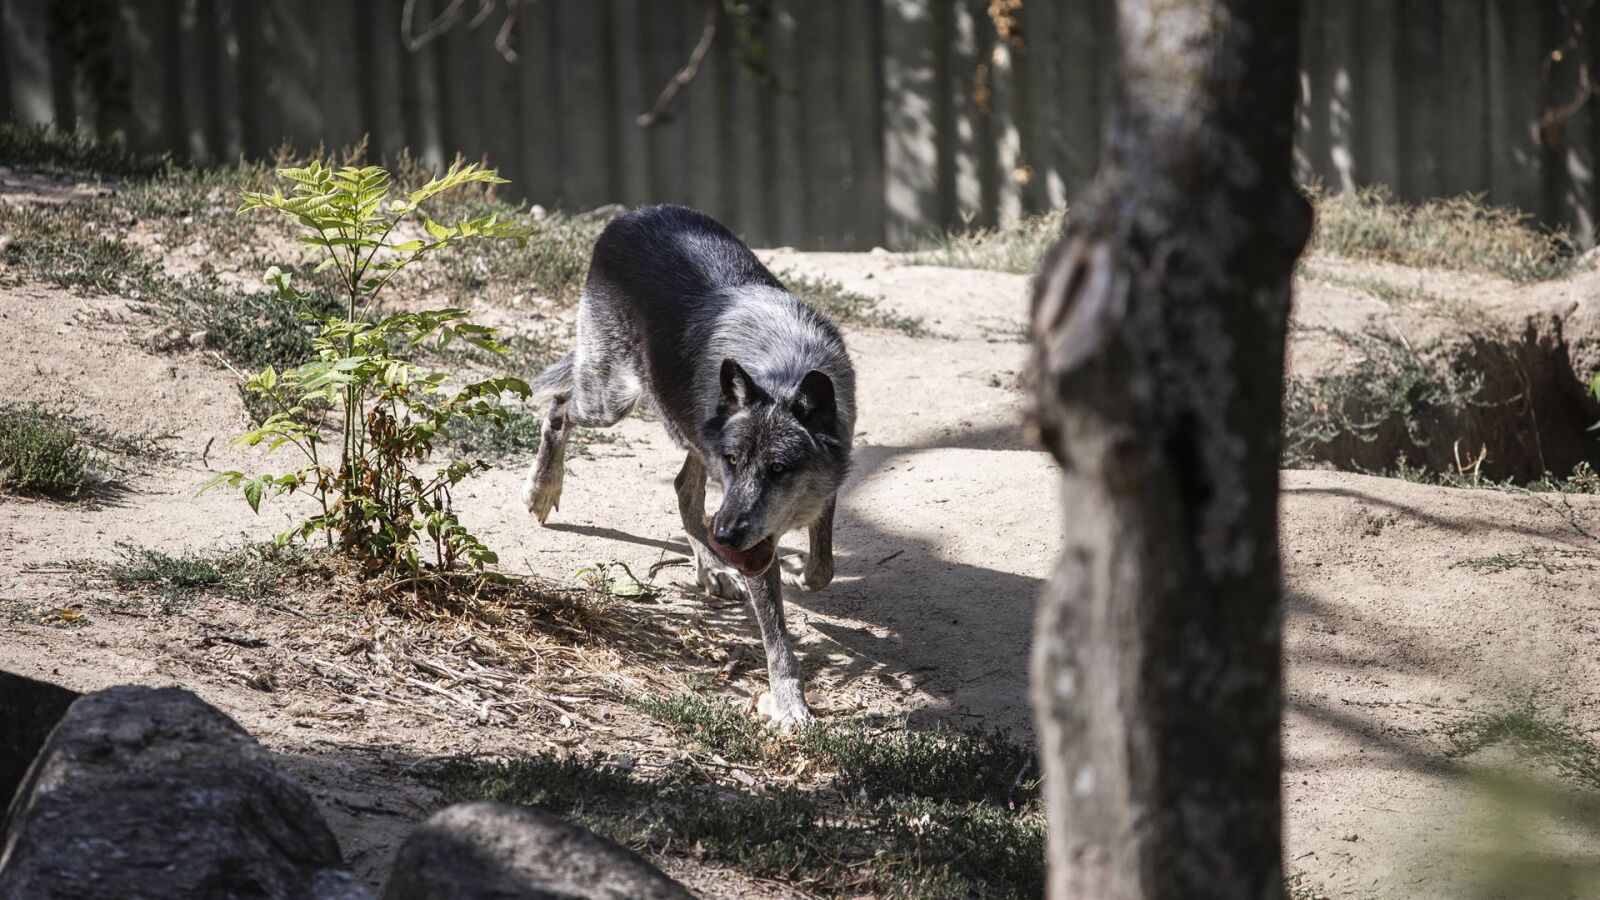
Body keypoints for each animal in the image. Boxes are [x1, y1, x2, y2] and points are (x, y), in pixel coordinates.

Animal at [520, 204, 856, 725]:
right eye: (736, 461)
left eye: (779, 469)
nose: (728, 537)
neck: (782, 368)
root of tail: (633, 214)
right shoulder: (740, 508)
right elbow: (776, 634)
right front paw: (789, 704)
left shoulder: (825, 485)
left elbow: (824, 566)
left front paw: (799, 571)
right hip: (612, 401)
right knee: (558, 406)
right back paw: (543, 489)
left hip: (685, 429)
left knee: (684, 491)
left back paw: (714, 568)